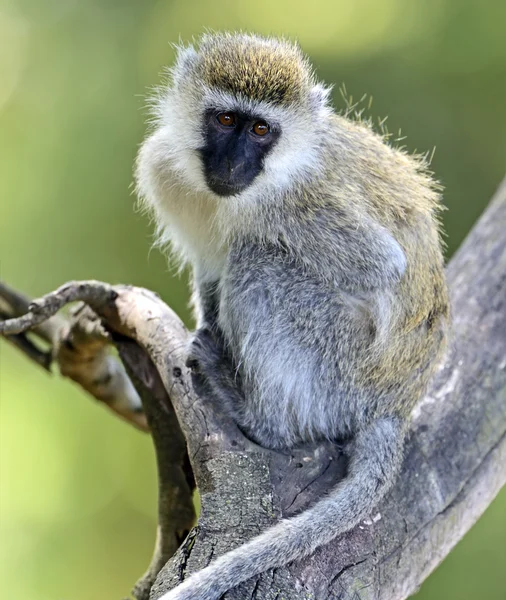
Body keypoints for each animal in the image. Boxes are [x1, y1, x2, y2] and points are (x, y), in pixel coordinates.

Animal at [135, 31, 450, 600]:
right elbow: (209, 267)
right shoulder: (164, 170)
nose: (233, 163)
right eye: (225, 120)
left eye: (261, 130)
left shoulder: (295, 204)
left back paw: (258, 416)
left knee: (258, 260)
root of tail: (397, 403)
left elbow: (383, 267)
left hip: (340, 373)